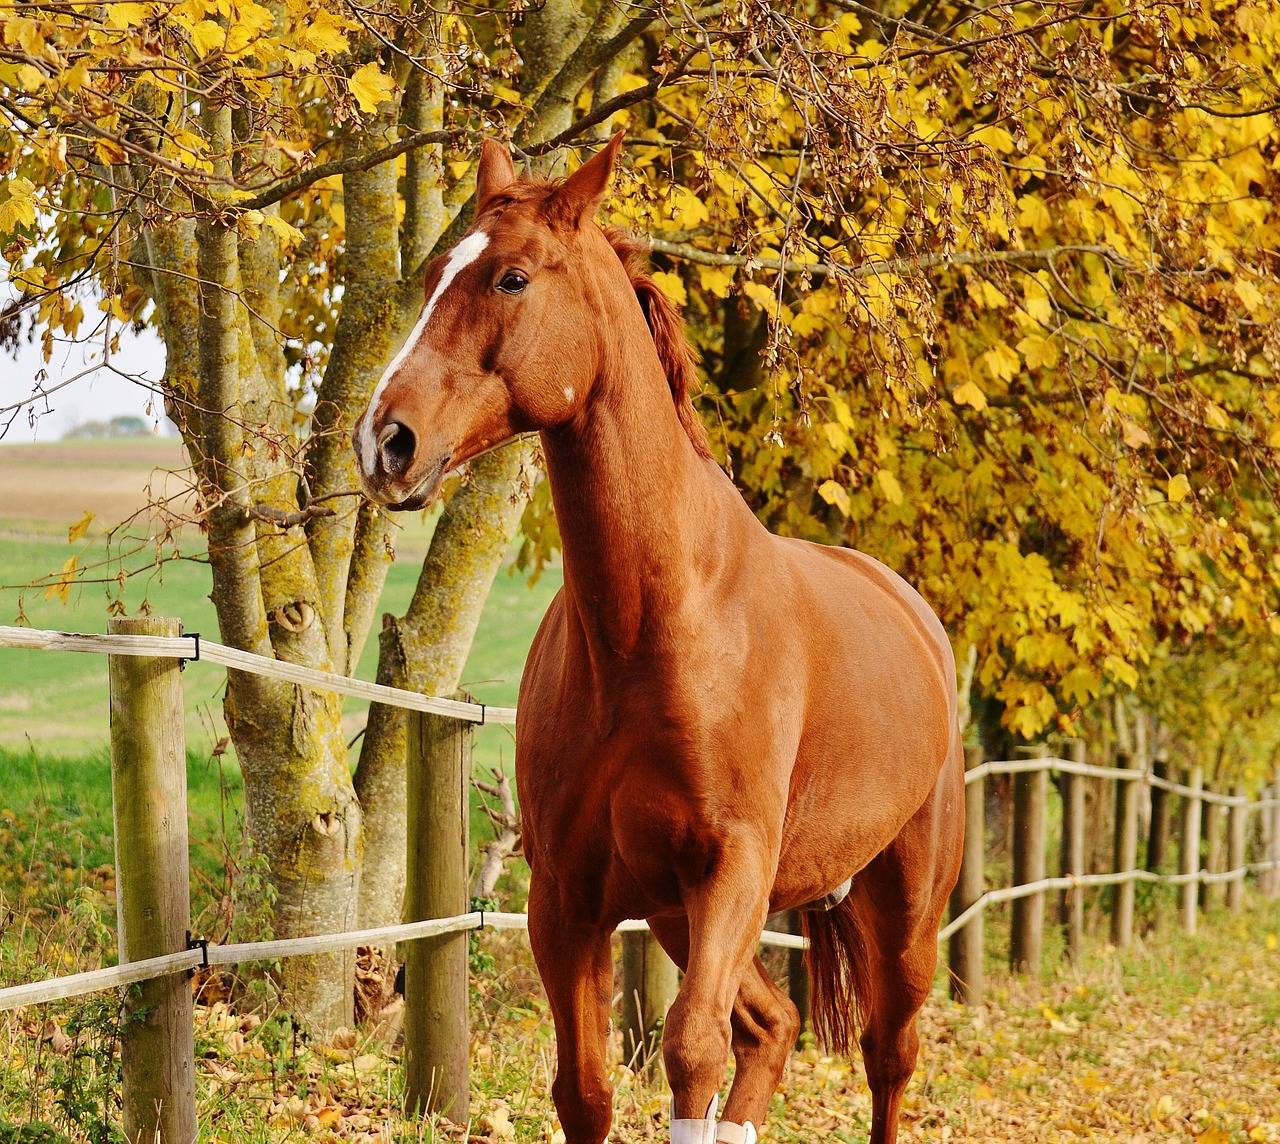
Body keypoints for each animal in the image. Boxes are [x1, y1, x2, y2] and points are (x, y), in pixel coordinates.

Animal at [350, 136, 962, 1144]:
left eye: (512, 277)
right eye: (434, 275)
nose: (384, 443)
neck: (658, 630)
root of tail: (914, 615)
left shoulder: (730, 875)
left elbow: (690, 1053)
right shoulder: (568, 902)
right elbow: (587, 1089)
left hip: (903, 909)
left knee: (886, 1056)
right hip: (680, 915)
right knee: (773, 1027)